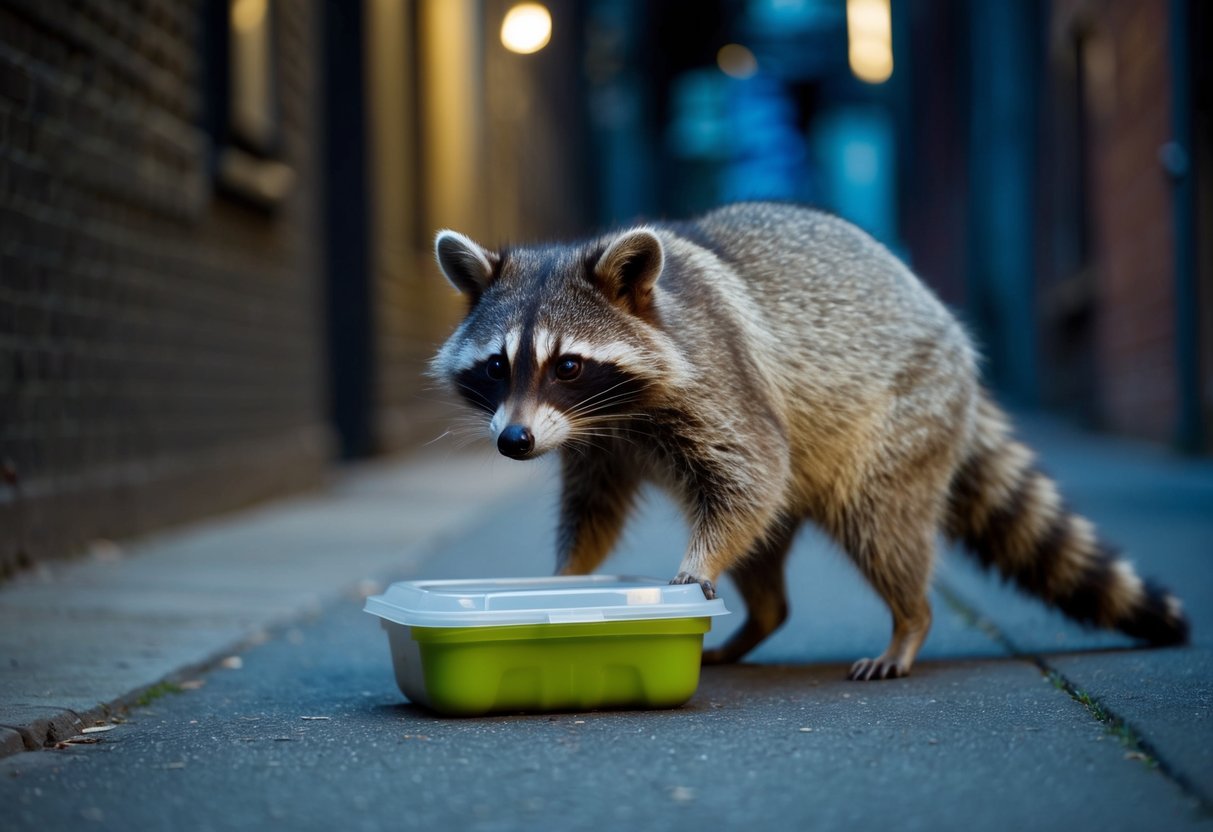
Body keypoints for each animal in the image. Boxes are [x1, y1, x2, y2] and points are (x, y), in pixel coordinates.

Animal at [429, 202, 1188, 680]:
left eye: (567, 366)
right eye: (495, 366)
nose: (514, 441)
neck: (611, 413)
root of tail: (952, 336)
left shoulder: (719, 379)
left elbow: (751, 469)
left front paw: (695, 564)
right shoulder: (596, 445)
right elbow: (595, 511)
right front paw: (566, 578)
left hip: (906, 412)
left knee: (879, 524)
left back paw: (909, 619)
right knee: (767, 545)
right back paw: (760, 618)